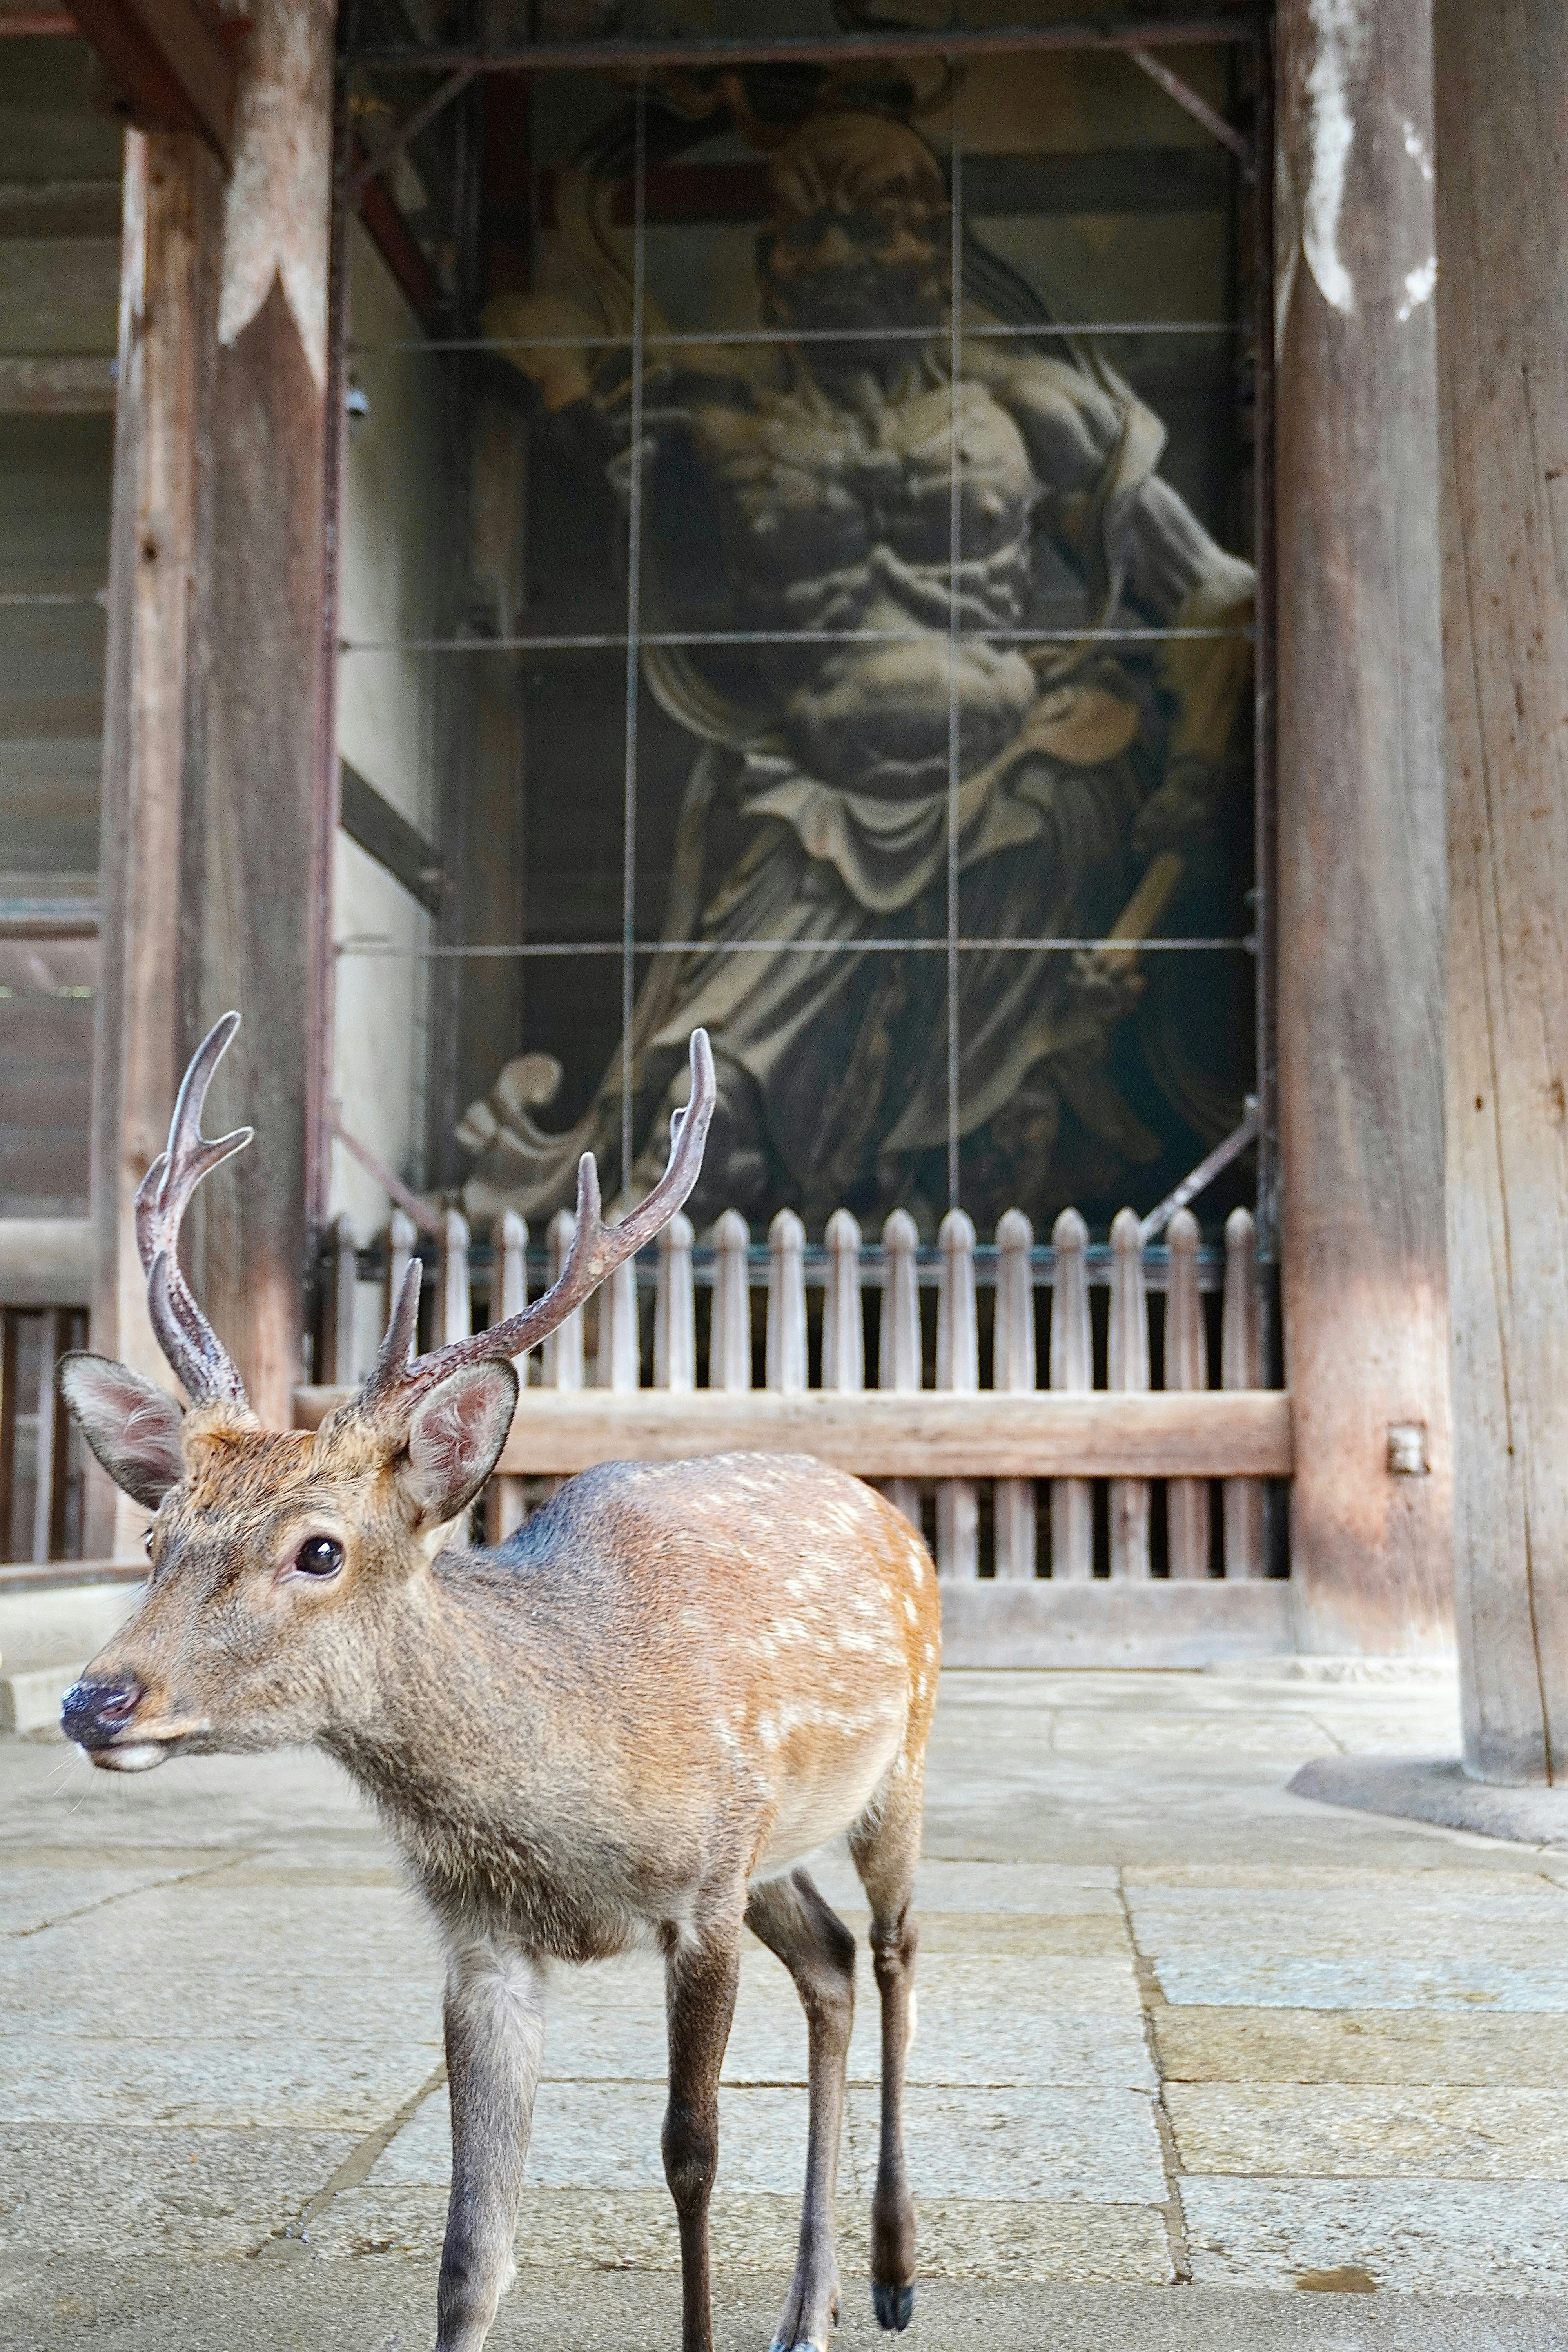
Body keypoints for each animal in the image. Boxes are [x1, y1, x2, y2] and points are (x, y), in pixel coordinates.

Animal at [57, 1013, 940, 2352]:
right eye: (157, 1536)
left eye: (319, 1548)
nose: (94, 1699)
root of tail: (892, 1511)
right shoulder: (482, 1935)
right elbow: (472, 2248)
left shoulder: (701, 1894)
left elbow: (690, 2153)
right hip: (776, 1848)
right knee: (831, 1967)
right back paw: (809, 2310)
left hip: (906, 1762)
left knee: (893, 1949)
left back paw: (891, 2274)